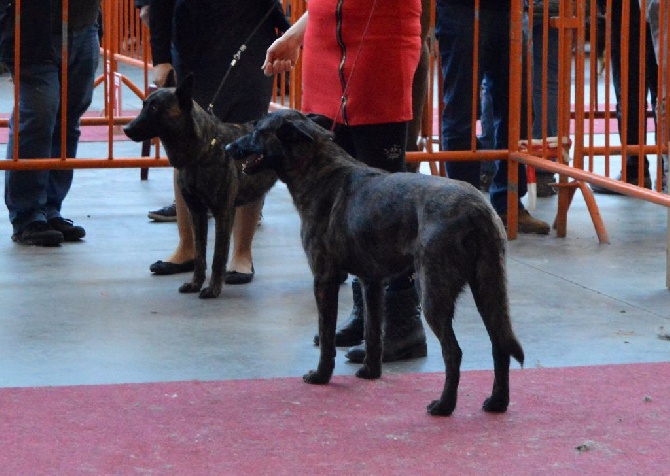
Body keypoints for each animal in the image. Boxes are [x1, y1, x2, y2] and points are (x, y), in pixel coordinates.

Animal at [124, 73, 276, 298]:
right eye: (144, 105)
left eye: (155, 107)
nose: (126, 129)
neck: (202, 151)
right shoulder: (196, 211)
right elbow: (199, 254)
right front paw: (195, 283)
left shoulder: (223, 213)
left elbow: (218, 256)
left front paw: (213, 288)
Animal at [228, 109, 528, 414]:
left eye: (258, 131)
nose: (229, 147)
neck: (315, 165)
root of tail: (478, 209)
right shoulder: (371, 281)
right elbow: (373, 331)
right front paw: (370, 371)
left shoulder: (324, 279)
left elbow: (326, 336)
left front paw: (321, 375)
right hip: (489, 288)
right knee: (500, 344)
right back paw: (497, 402)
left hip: (434, 291)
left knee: (453, 352)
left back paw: (444, 405)